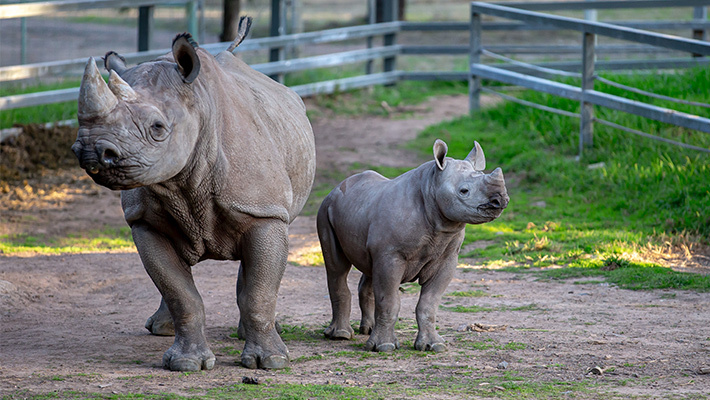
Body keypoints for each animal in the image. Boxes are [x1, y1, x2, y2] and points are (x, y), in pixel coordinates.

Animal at [72, 19, 316, 370]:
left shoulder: (264, 211)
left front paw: (270, 362)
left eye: (158, 128)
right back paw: (160, 329)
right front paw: (186, 364)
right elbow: (179, 292)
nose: (91, 150)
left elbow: (260, 291)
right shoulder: (144, 223)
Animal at [317, 139, 508, 353]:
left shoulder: (447, 258)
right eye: (464, 191)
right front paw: (385, 346)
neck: (431, 186)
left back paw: (367, 330)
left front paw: (434, 345)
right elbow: (389, 300)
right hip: (325, 209)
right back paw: (340, 335)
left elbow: (429, 303)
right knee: (337, 268)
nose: (500, 200)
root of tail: (336, 188)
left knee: (369, 268)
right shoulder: (391, 255)